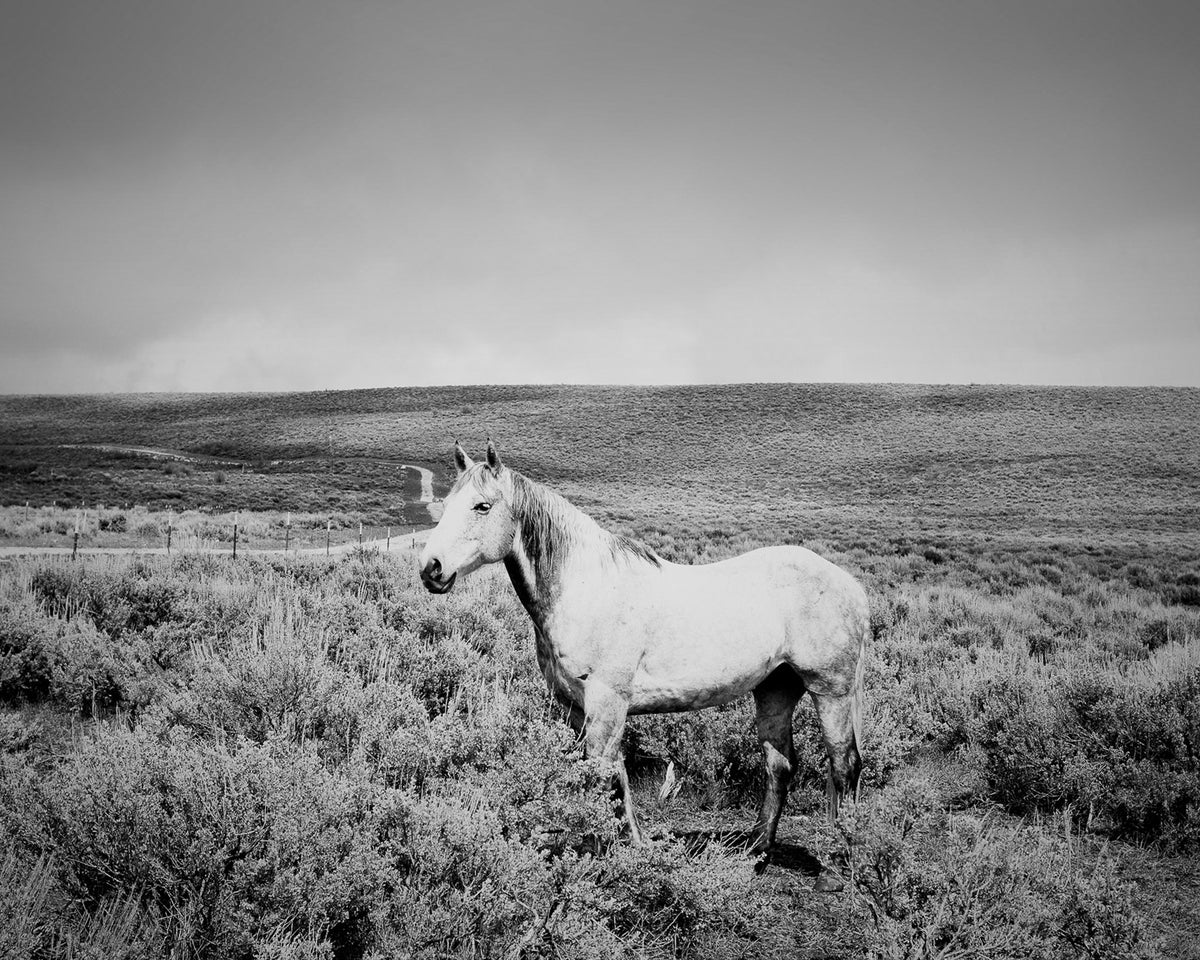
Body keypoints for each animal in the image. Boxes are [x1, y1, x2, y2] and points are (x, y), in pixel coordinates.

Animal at [420, 441, 864, 868]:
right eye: (447, 503)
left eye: (482, 506)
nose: (430, 569)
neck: (586, 589)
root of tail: (852, 586)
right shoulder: (579, 709)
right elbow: (614, 779)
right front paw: (630, 847)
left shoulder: (608, 703)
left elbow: (602, 777)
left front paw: (597, 858)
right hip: (776, 689)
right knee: (779, 766)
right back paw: (756, 852)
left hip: (831, 693)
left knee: (845, 765)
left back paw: (840, 866)